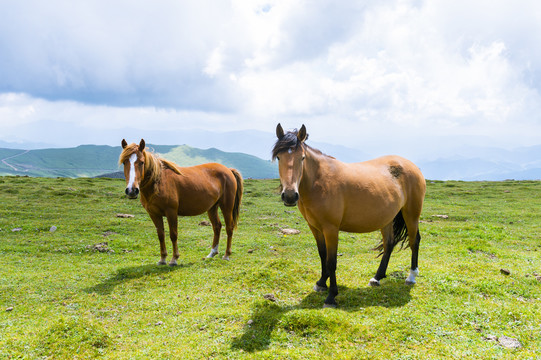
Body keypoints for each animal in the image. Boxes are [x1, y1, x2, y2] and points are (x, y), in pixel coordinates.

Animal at [274, 124, 426, 306]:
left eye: (302, 158)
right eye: (279, 158)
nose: (290, 196)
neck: (319, 182)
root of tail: (413, 166)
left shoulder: (331, 229)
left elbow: (331, 261)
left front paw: (331, 296)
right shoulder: (315, 227)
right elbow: (322, 254)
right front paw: (321, 283)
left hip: (411, 214)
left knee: (414, 241)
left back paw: (411, 276)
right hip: (387, 218)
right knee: (389, 243)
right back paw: (377, 278)